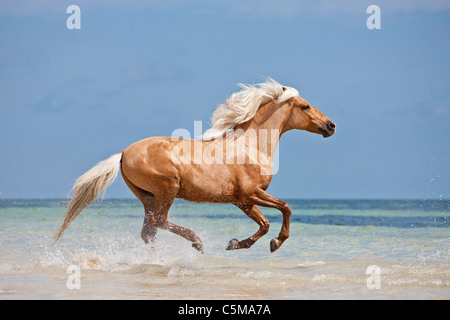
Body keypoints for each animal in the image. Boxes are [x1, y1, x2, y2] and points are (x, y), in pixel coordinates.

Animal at [54, 77, 334, 252]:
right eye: (305, 106)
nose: (331, 126)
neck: (250, 146)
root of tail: (123, 153)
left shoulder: (242, 200)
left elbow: (264, 224)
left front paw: (236, 244)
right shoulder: (251, 193)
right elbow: (285, 208)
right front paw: (276, 242)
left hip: (147, 196)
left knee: (149, 231)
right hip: (168, 189)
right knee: (159, 221)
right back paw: (197, 242)